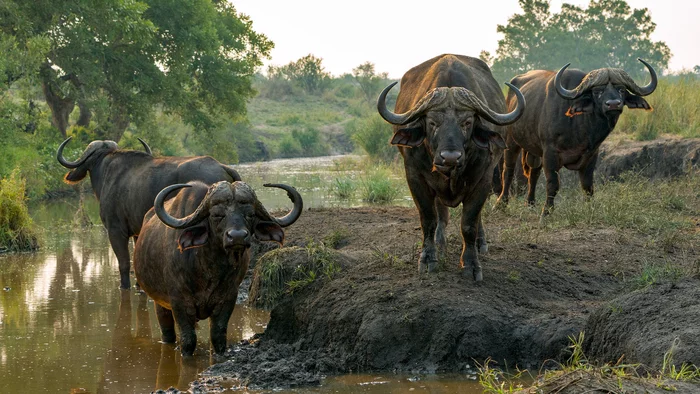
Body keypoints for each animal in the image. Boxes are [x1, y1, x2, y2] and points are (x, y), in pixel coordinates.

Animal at [55, 137, 241, 288]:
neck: (106, 173)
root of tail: (221, 166)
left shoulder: (116, 231)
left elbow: (124, 263)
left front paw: (125, 287)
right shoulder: (137, 231)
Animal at [134, 182, 304, 358]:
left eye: (250, 214)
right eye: (217, 215)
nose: (237, 236)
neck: (209, 270)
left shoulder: (228, 298)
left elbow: (217, 336)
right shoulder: (179, 302)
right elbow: (188, 341)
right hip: (159, 303)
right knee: (167, 332)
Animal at [378, 53, 524, 282]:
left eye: (467, 122)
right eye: (432, 122)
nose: (450, 157)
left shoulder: (483, 178)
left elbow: (469, 223)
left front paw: (471, 264)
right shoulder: (415, 177)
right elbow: (428, 219)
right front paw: (428, 259)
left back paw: (481, 243)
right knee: (440, 213)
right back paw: (440, 242)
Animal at [498, 58, 656, 217]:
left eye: (621, 89)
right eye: (597, 91)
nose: (613, 104)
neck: (581, 126)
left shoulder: (592, 154)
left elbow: (587, 185)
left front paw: (590, 209)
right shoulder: (550, 152)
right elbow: (553, 184)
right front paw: (546, 212)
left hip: (534, 148)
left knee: (533, 172)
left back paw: (530, 203)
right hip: (511, 142)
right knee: (508, 170)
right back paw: (501, 204)